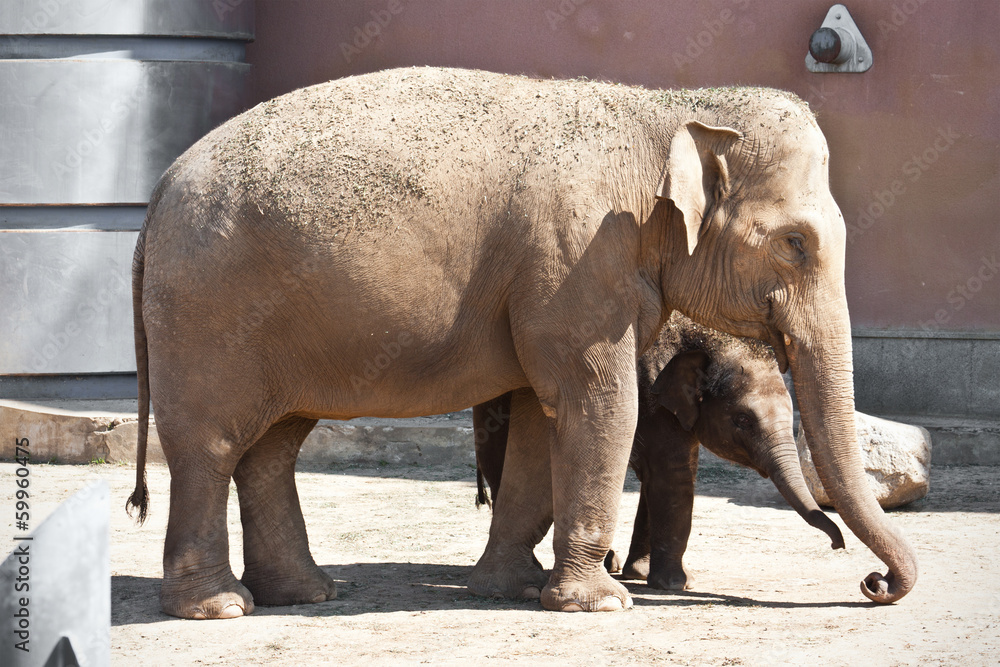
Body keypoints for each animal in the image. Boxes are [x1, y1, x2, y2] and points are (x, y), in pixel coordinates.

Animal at [474, 312, 846, 593]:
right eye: (743, 420)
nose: (837, 546)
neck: (701, 336)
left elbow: (662, 478)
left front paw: (641, 574)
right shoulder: (652, 397)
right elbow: (673, 476)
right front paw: (677, 585)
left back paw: (610, 564)